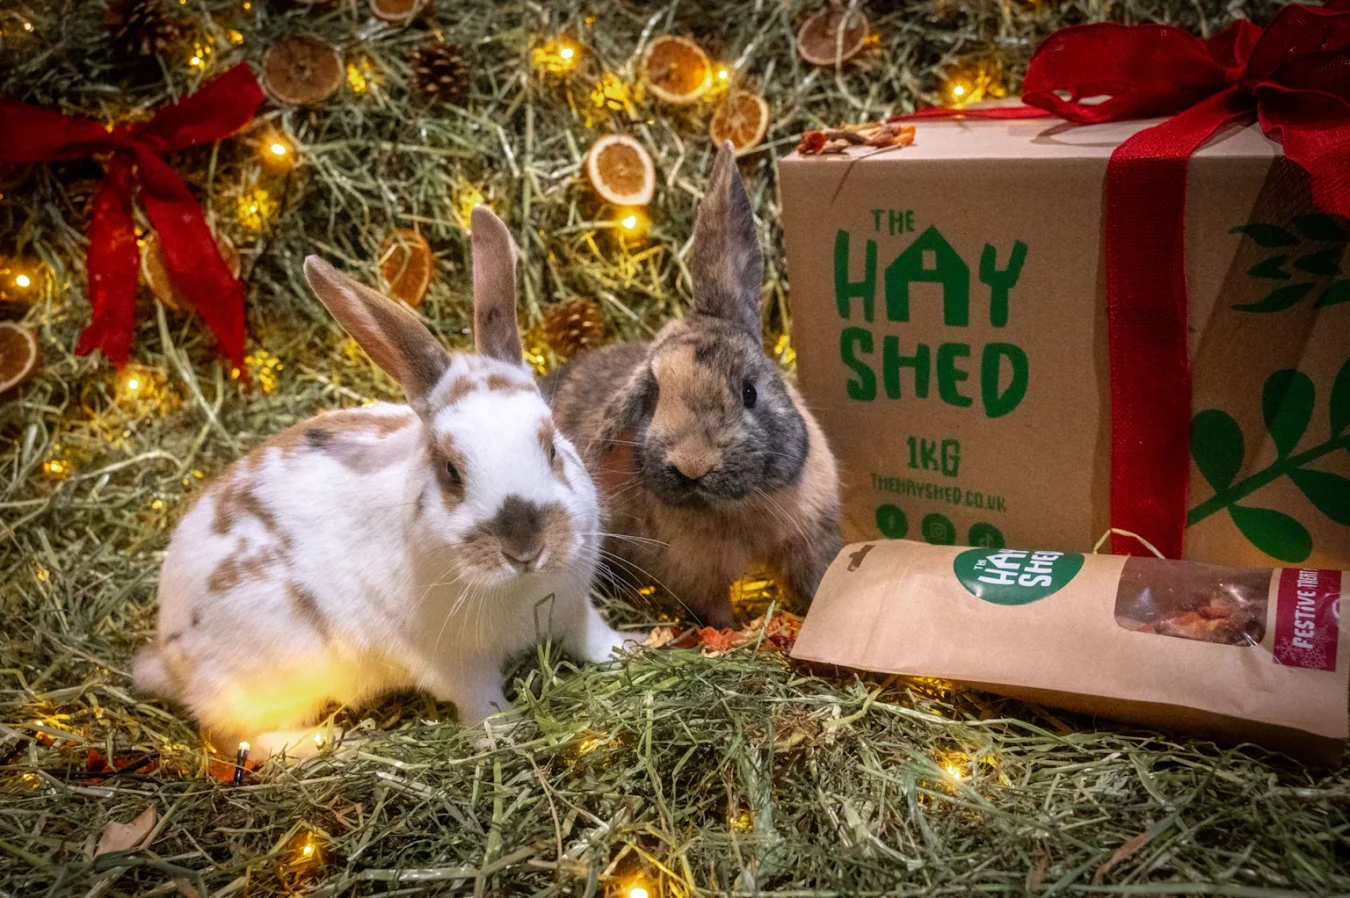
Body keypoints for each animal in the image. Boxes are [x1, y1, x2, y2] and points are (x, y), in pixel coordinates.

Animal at [133, 207, 630, 758]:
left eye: (551, 446)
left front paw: (633, 649)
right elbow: (480, 701)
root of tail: (168, 651)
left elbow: (592, 637)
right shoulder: (455, 664)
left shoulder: (573, 607)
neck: (520, 588)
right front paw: (504, 734)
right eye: (450, 471)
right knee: (244, 738)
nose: (525, 549)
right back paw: (325, 742)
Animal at [543, 143, 842, 629]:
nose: (692, 464)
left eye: (749, 391)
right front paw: (732, 632)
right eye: (652, 396)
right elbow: (715, 611)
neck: (735, 507)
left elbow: (815, 578)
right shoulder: (696, 577)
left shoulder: (810, 537)